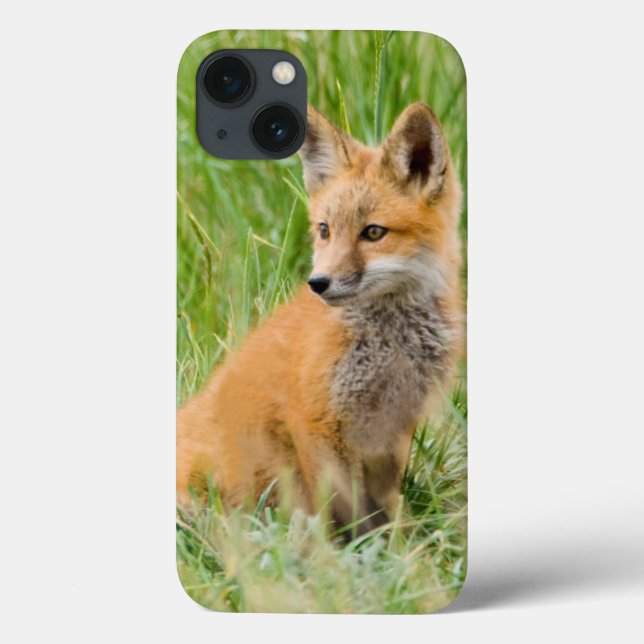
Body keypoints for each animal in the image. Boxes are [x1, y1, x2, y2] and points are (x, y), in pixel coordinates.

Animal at [177, 102, 464, 533]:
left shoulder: (393, 429)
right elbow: (341, 510)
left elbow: (385, 507)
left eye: (373, 233)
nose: (318, 283)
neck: (390, 346)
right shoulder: (315, 420)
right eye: (325, 230)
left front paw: (399, 543)